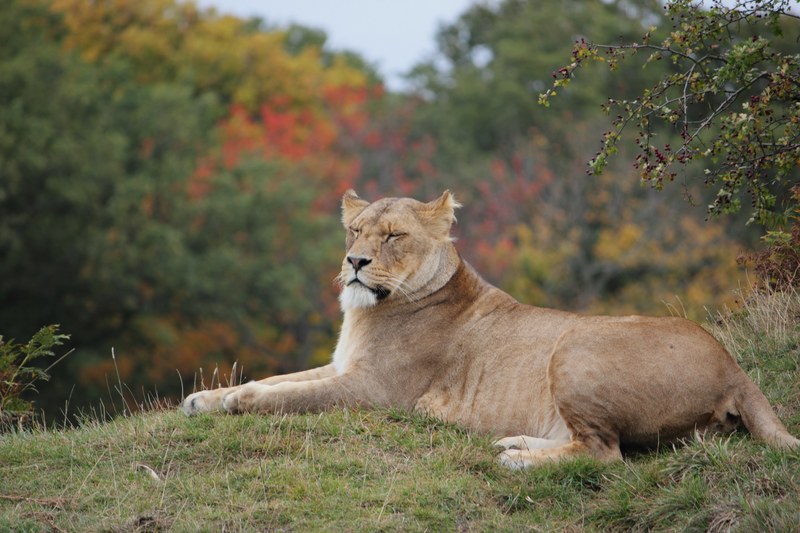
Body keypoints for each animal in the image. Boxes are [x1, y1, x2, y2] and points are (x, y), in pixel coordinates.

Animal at [182, 190, 799, 468]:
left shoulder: (375, 391)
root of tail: (735, 367)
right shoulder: (341, 366)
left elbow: (288, 396)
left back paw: (517, 460)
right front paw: (205, 399)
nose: (355, 262)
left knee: (605, 454)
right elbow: (279, 380)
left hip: (575, 344)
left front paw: (237, 403)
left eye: (393, 236)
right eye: (355, 230)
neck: (368, 312)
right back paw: (515, 442)